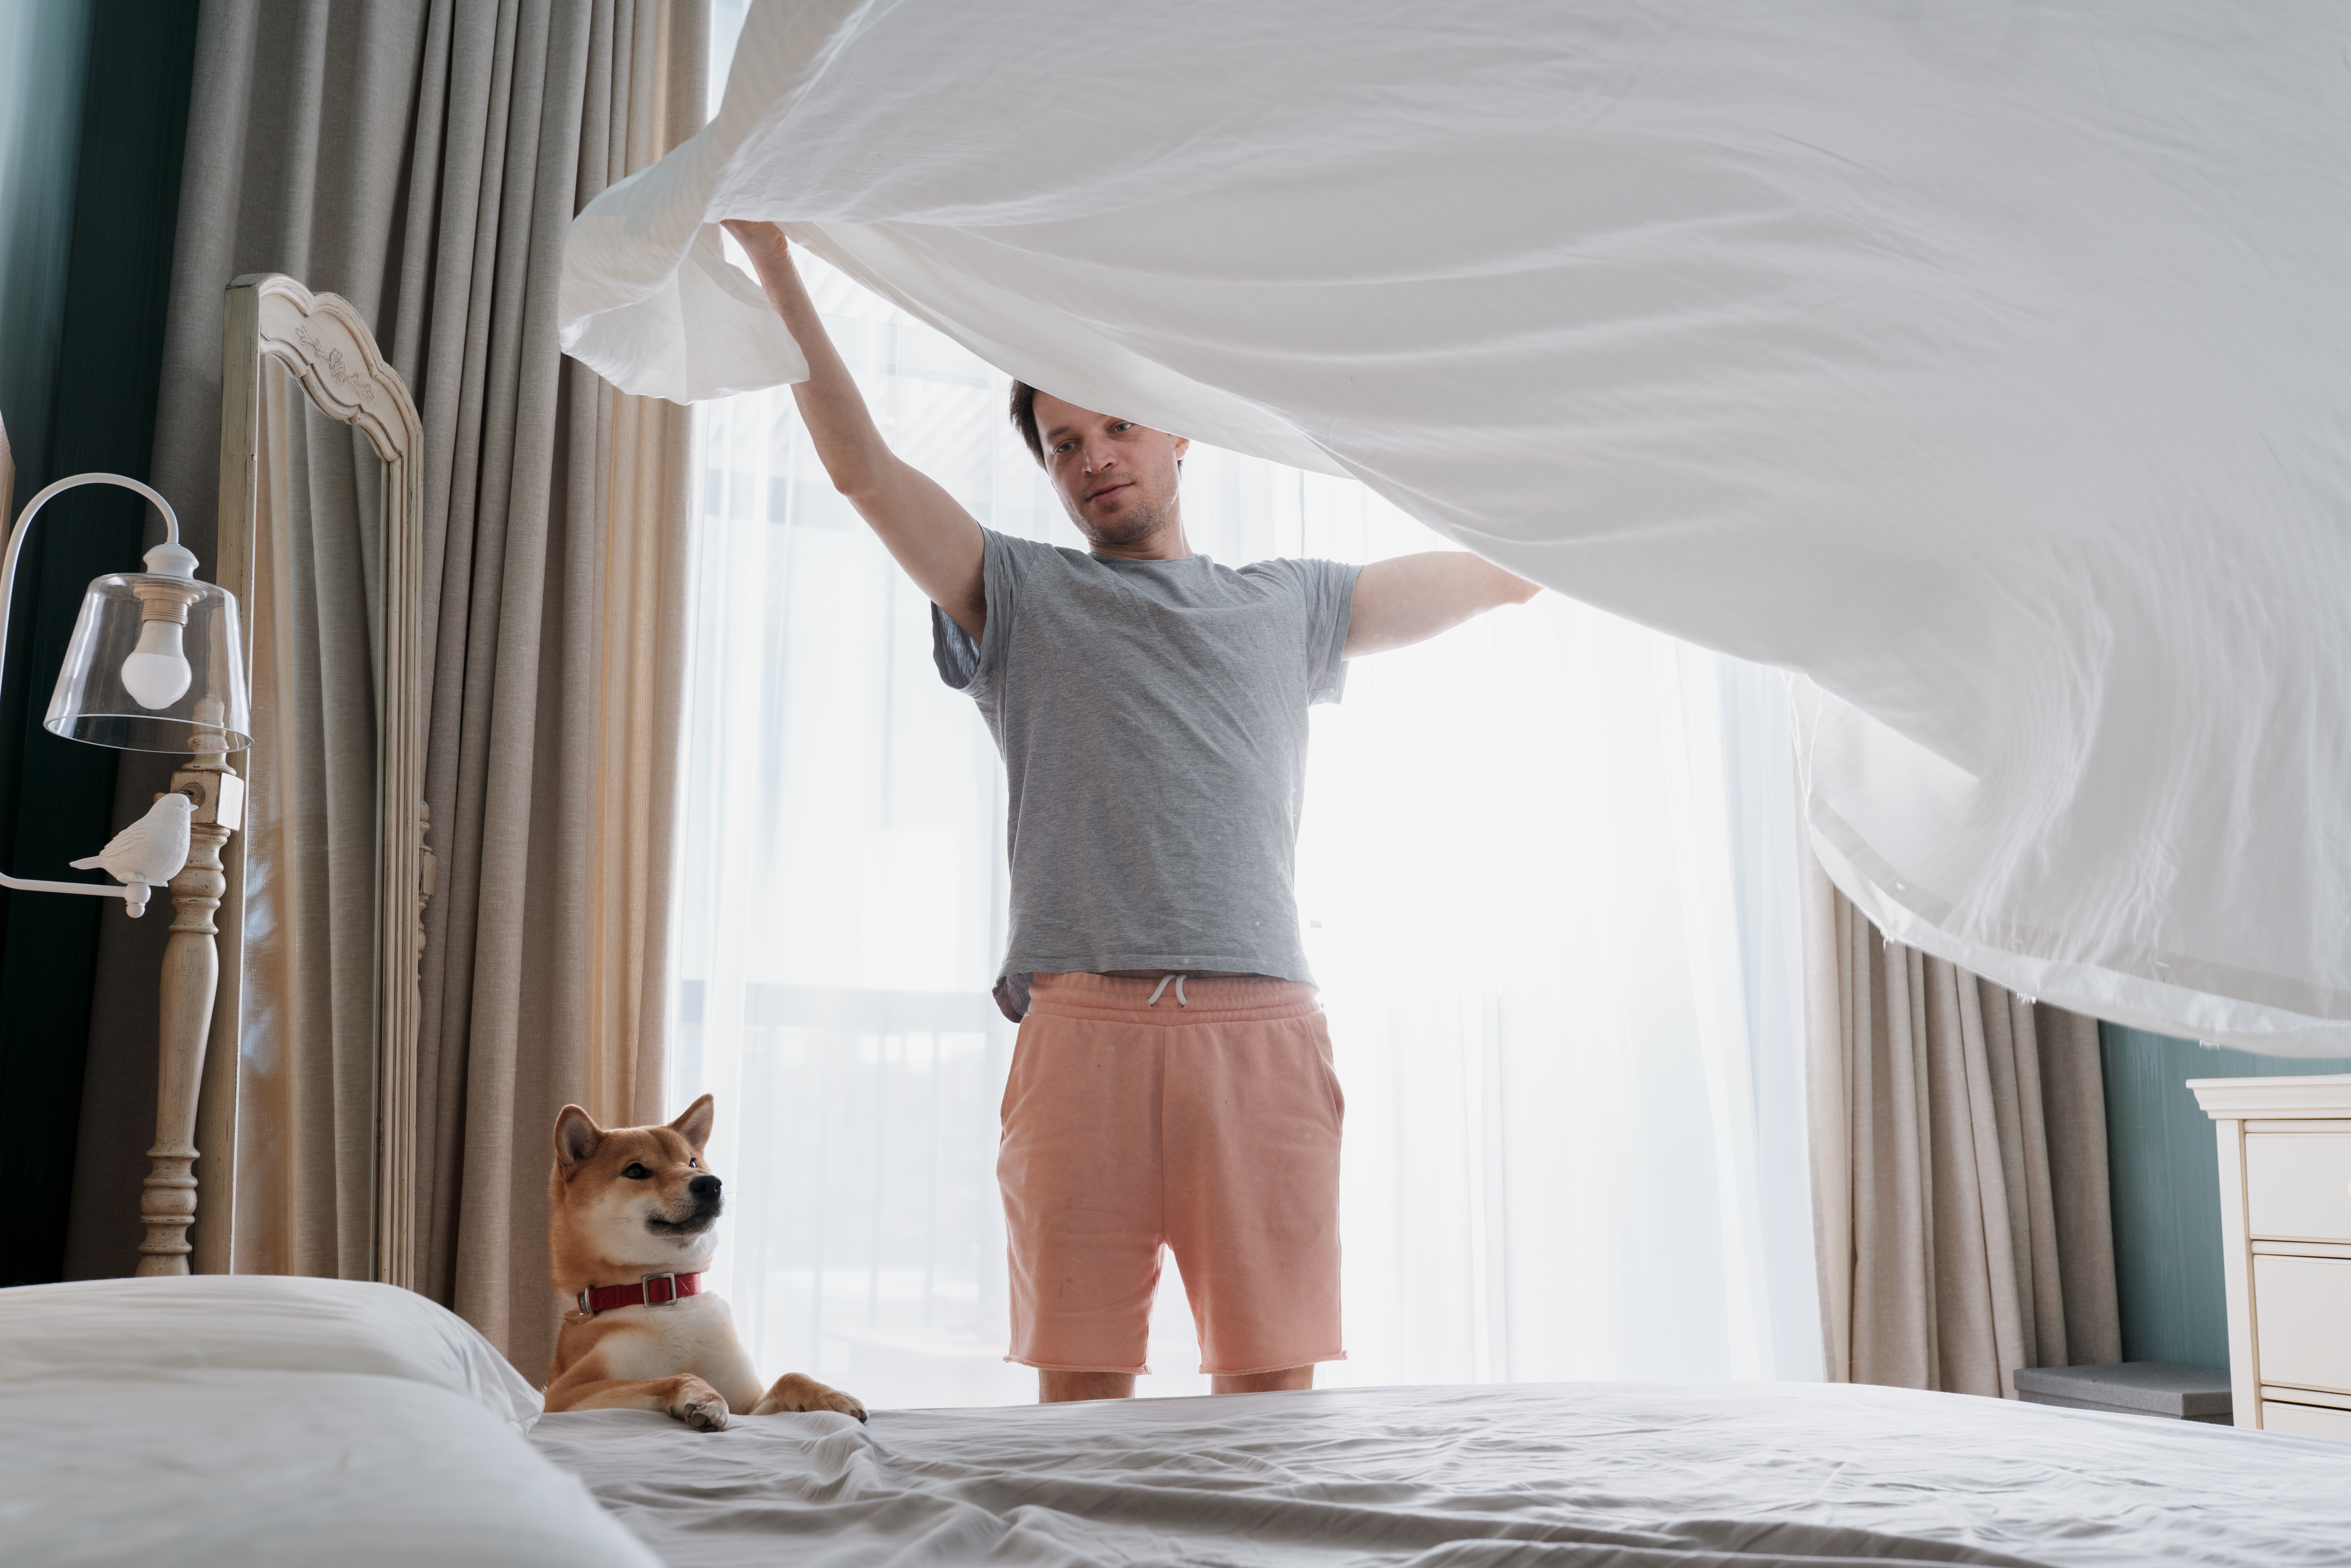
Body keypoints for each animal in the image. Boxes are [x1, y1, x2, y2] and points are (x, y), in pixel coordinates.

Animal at [545, 1100, 870, 1429]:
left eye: (692, 1163)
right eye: (635, 1170)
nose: (710, 1183)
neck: (666, 1295)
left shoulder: (750, 1409)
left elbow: (789, 1377)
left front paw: (830, 1396)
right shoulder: (562, 1395)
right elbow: (672, 1376)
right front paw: (704, 1395)